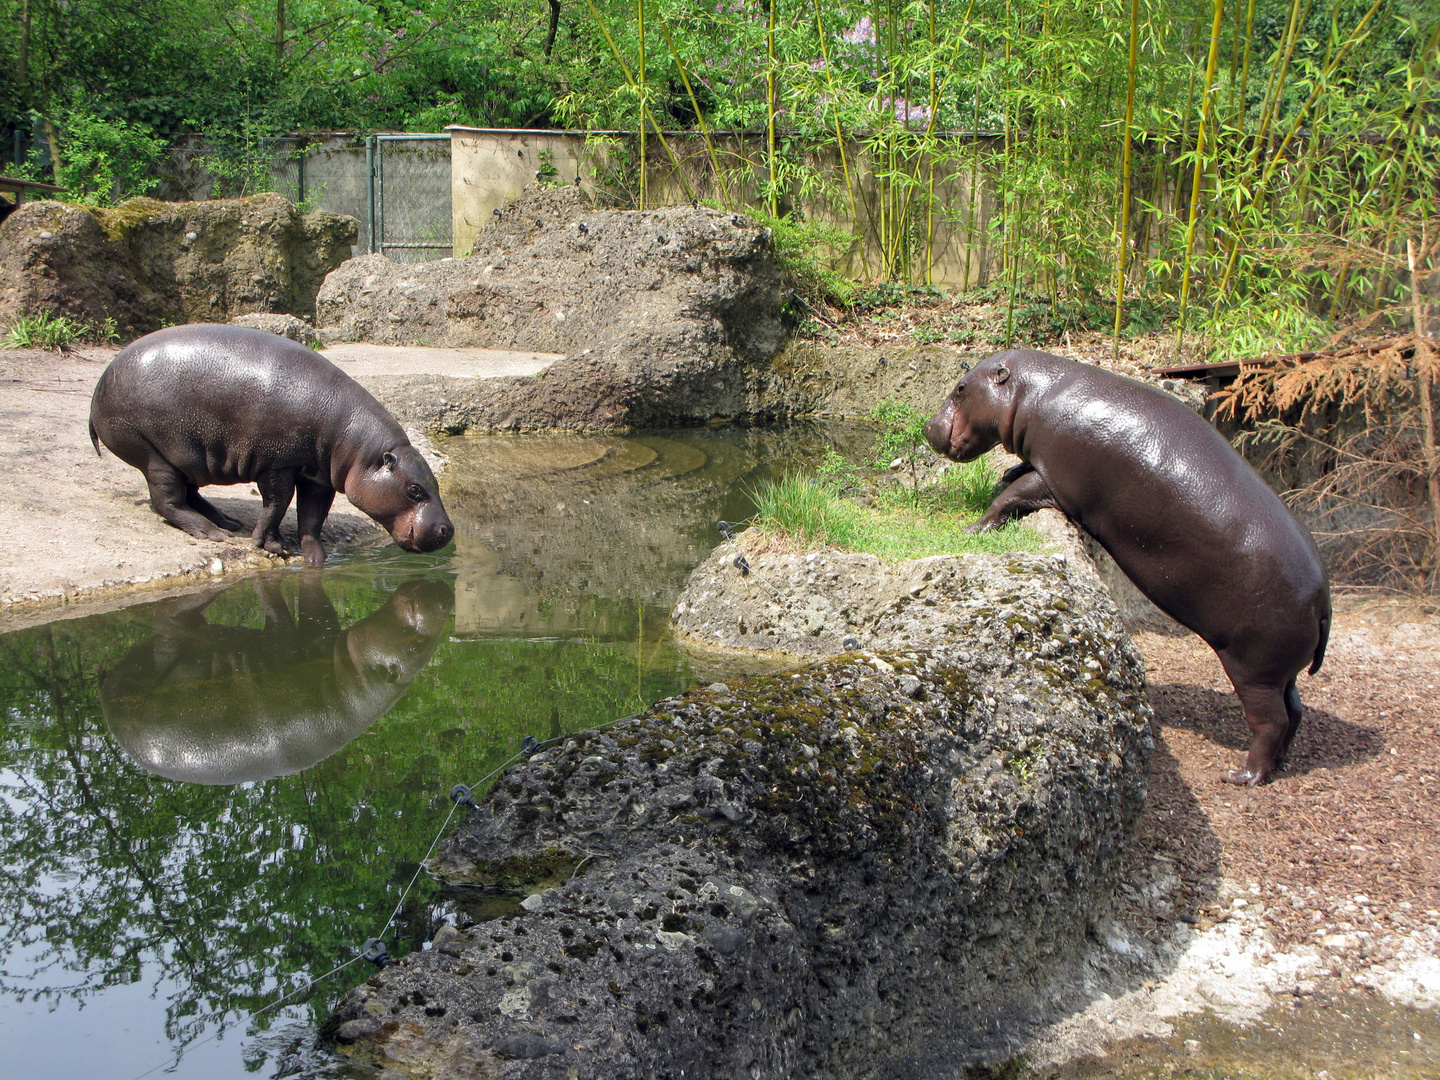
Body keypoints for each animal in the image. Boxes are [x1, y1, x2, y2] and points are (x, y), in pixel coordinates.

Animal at [90, 321, 449, 570]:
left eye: (435, 482)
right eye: (415, 490)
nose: (449, 530)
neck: (356, 444)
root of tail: (98, 389)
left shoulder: (317, 477)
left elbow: (311, 518)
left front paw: (315, 558)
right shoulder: (278, 465)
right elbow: (277, 504)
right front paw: (270, 546)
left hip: (189, 458)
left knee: (190, 494)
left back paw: (226, 522)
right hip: (155, 454)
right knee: (167, 502)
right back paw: (213, 533)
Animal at [927, 352, 1330, 789]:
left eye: (961, 388)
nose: (929, 428)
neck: (1034, 393)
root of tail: (1323, 600)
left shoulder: (1057, 482)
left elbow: (1012, 497)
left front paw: (974, 527)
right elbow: (1016, 475)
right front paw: (1005, 473)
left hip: (1254, 669)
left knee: (1271, 722)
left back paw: (1243, 775)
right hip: (1280, 670)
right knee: (1295, 710)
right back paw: (1279, 765)